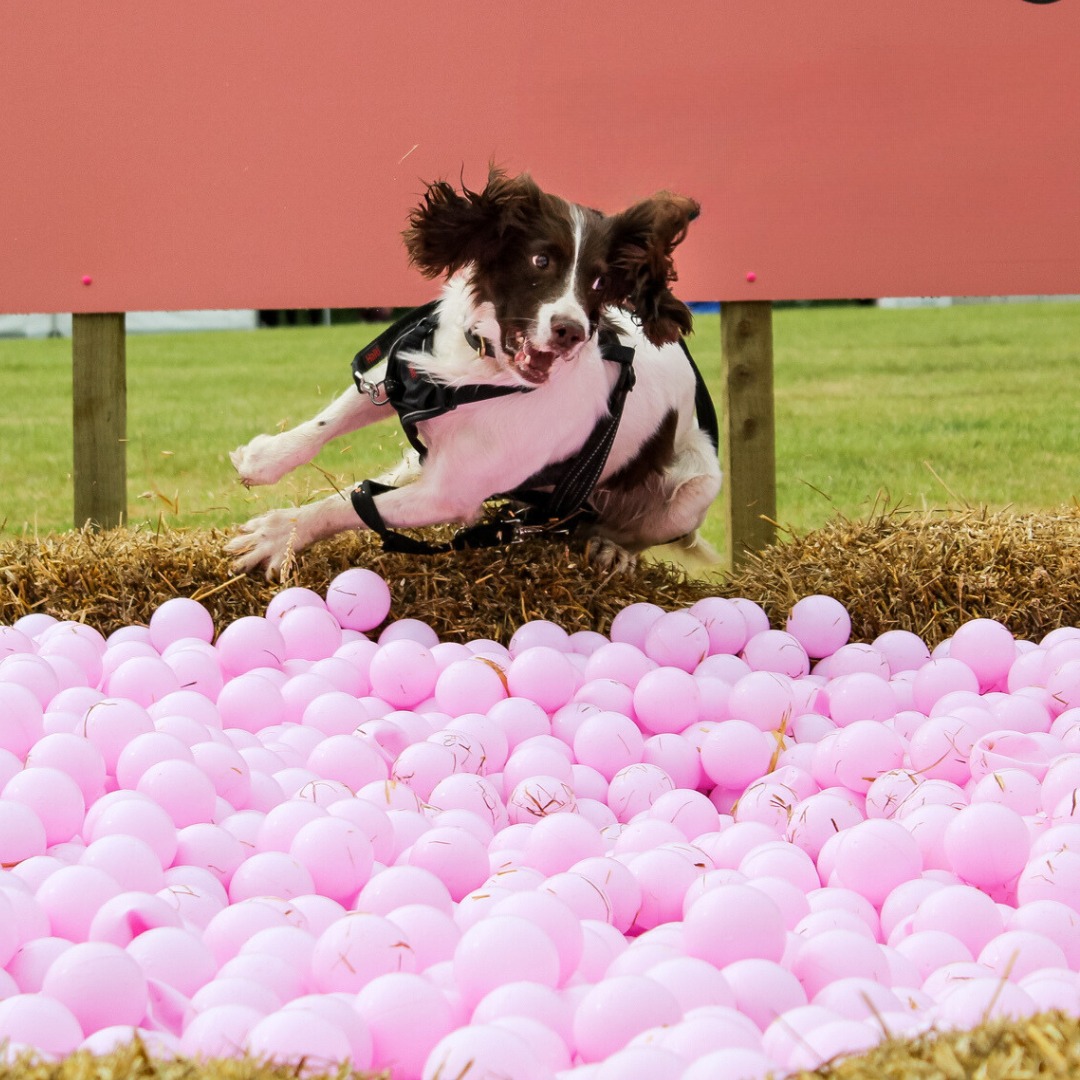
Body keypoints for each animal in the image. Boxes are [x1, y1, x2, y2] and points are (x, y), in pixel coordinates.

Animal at [224, 170, 721, 574]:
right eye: (541, 261)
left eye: (600, 282)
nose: (571, 332)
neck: (486, 369)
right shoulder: (408, 373)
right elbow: (331, 421)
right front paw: (265, 459)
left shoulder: (450, 494)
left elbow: (346, 506)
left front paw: (279, 533)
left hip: (697, 488)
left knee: (635, 531)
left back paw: (610, 548)